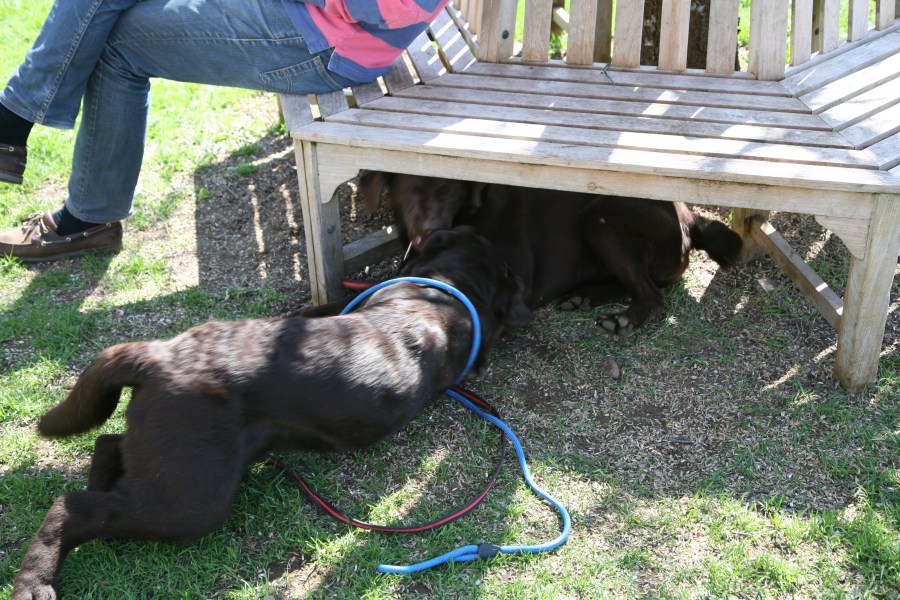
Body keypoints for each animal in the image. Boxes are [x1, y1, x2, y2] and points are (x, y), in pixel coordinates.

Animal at [11, 226, 532, 600]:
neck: (444, 285)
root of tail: (157, 355)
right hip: (192, 500)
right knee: (71, 506)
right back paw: (36, 582)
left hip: (167, 461)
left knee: (107, 447)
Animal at [360, 172, 743, 335]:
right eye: (411, 188)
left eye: (449, 188)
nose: (433, 230)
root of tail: (690, 216)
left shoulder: (517, 281)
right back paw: (585, 297)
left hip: (600, 216)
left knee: (651, 294)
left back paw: (622, 319)